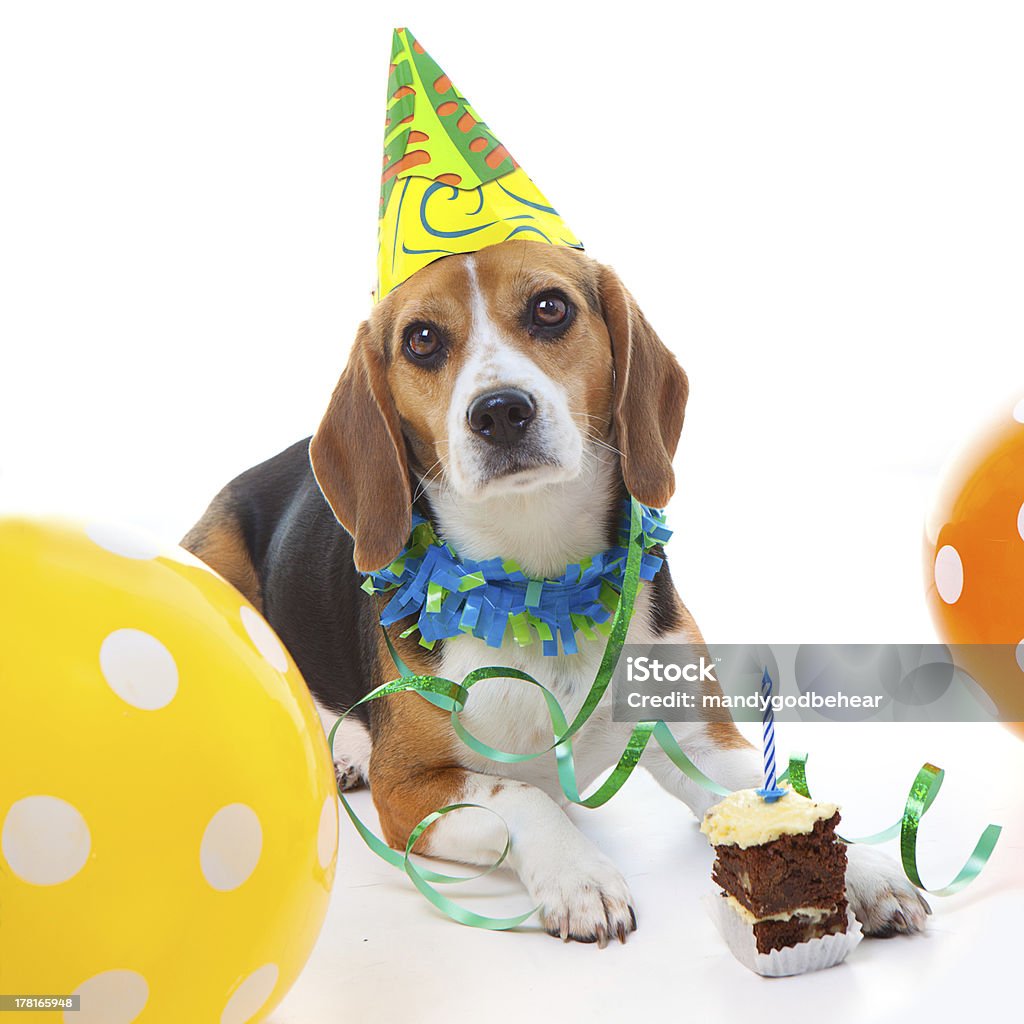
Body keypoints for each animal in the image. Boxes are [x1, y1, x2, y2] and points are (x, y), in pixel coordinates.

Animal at [182, 237, 929, 942]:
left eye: (550, 308)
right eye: (420, 339)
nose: (499, 411)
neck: (538, 585)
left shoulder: (704, 738)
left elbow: (789, 798)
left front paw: (860, 868)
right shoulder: (410, 789)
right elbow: (523, 795)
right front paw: (579, 876)